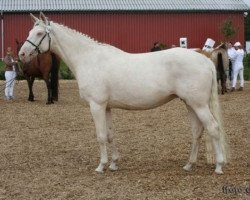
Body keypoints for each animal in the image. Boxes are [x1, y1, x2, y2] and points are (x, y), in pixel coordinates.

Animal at [18, 13, 229, 174]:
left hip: (198, 105)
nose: (22, 55)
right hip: (190, 103)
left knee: (213, 128)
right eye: (29, 32)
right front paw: (113, 164)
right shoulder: (106, 107)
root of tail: (205, 60)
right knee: (197, 131)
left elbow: (101, 135)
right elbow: (110, 135)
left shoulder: (96, 106)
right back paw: (189, 165)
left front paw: (101, 166)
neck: (89, 59)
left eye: (39, 33)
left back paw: (219, 166)